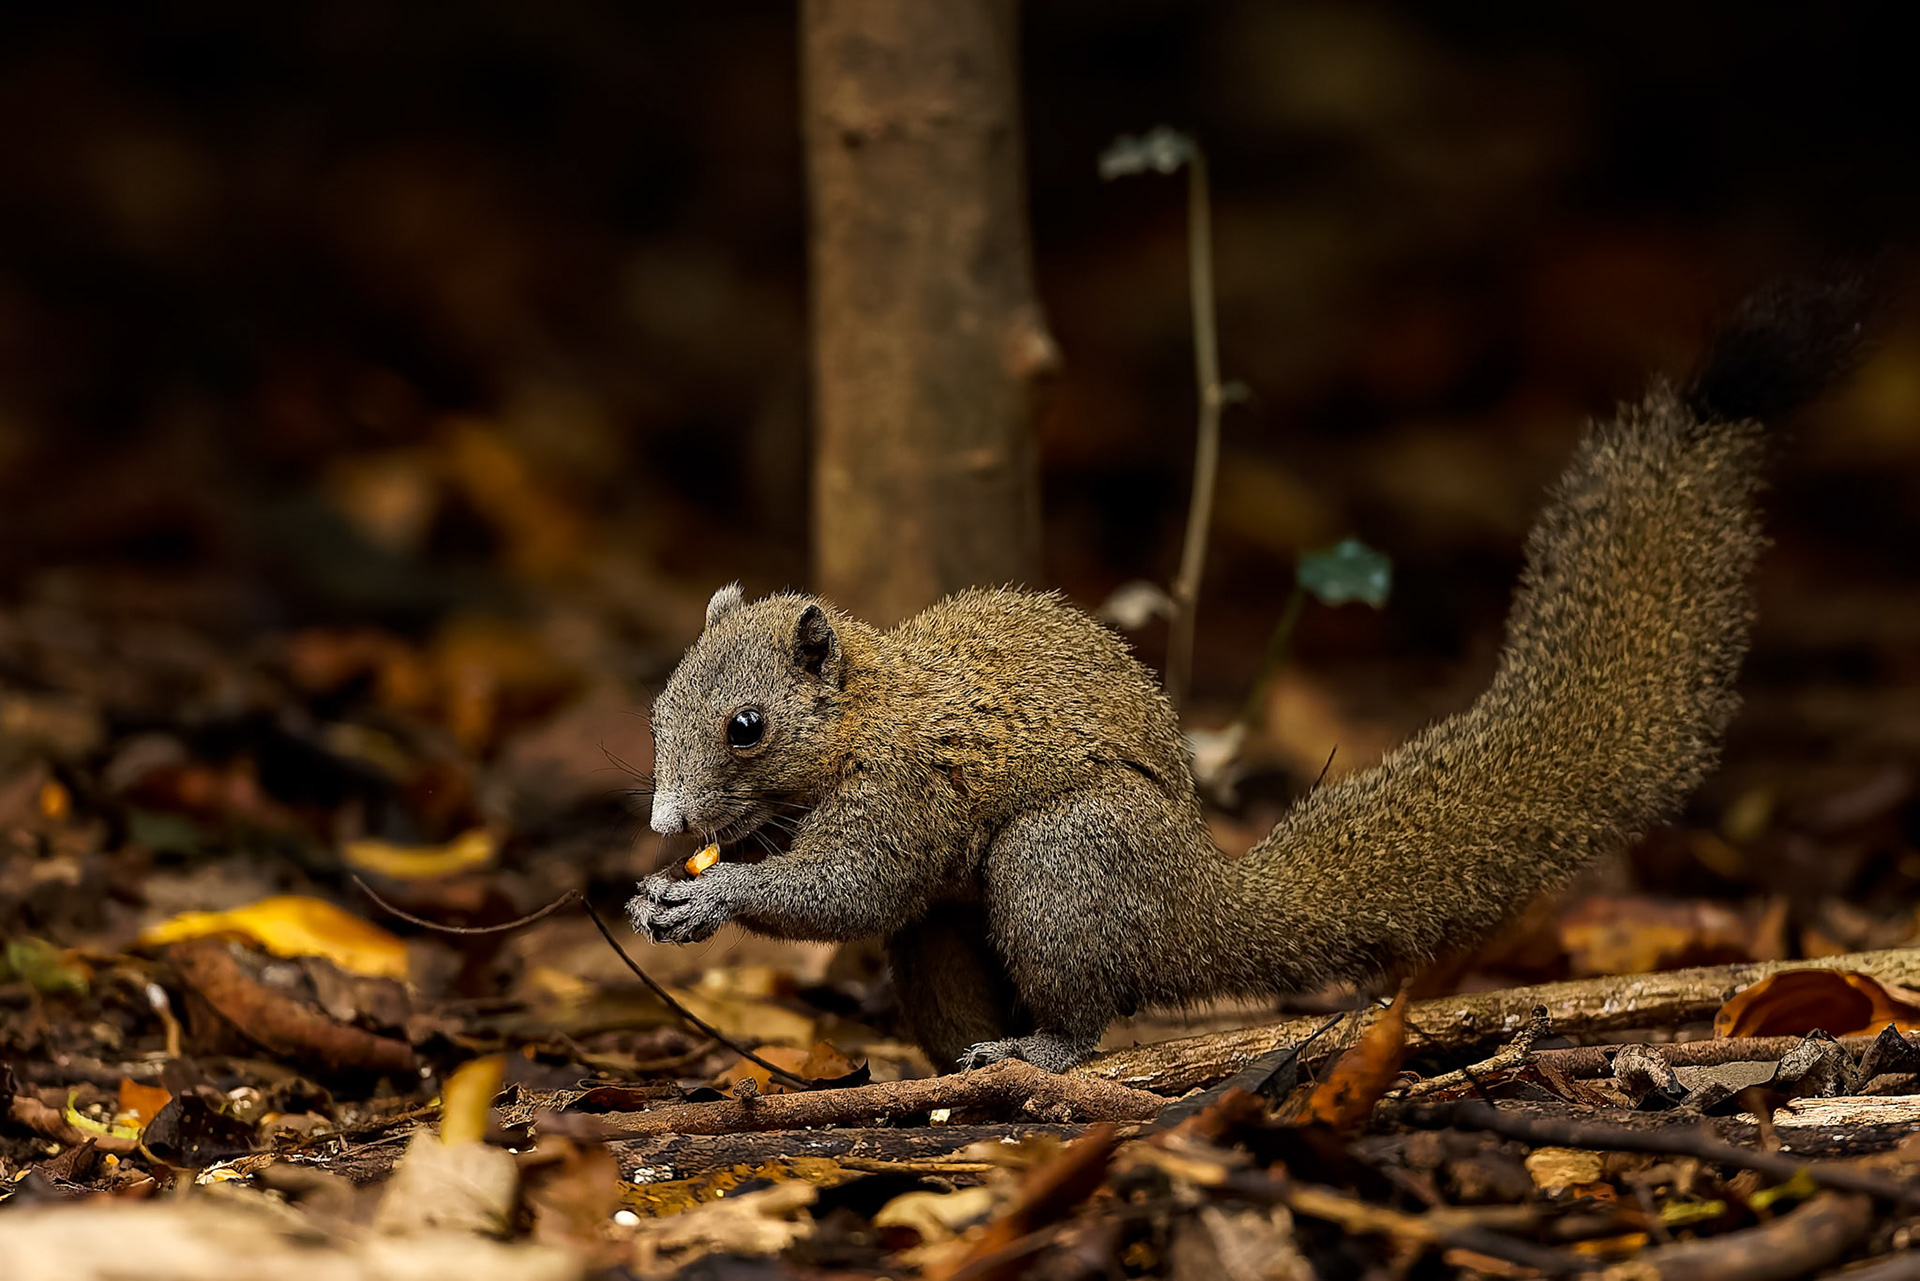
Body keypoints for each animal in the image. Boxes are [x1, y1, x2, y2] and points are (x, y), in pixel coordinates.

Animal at [629, 281, 1876, 1072]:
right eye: (657, 711)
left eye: (746, 725)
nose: (665, 822)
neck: (866, 710)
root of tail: (1194, 906)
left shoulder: (904, 788)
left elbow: (852, 886)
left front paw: (707, 897)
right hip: (954, 934)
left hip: (1061, 863)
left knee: (1085, 1006)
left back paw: (1036, 1051)